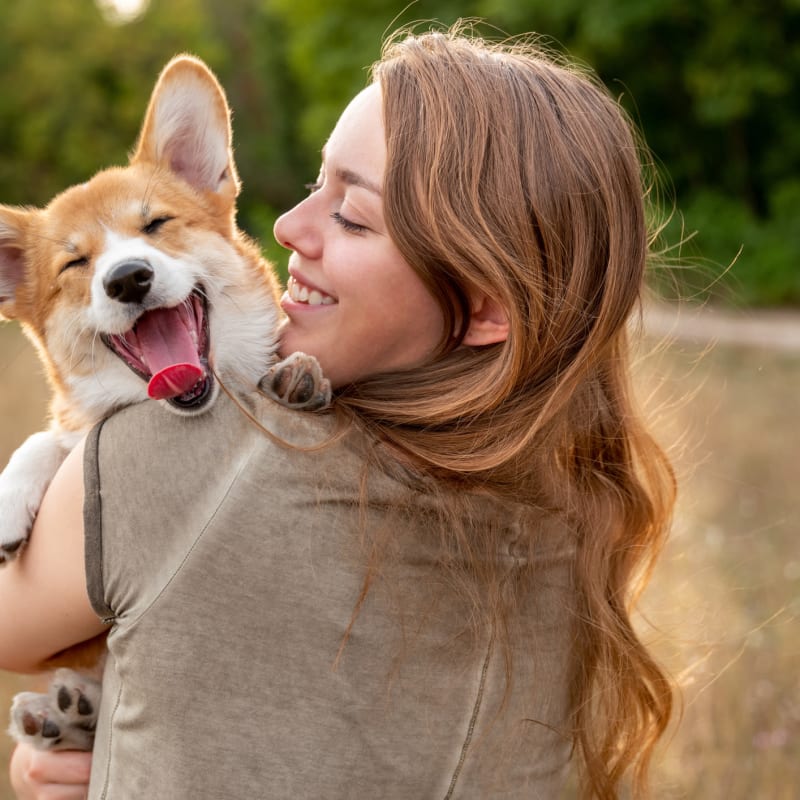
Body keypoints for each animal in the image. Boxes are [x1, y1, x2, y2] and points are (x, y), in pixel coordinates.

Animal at [0, 56, 330, 752]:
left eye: (155, 225)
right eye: (75, 263)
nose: (128, 278)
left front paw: (299, 374)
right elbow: (51, 437)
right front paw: (9, 501)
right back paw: (62, 714)